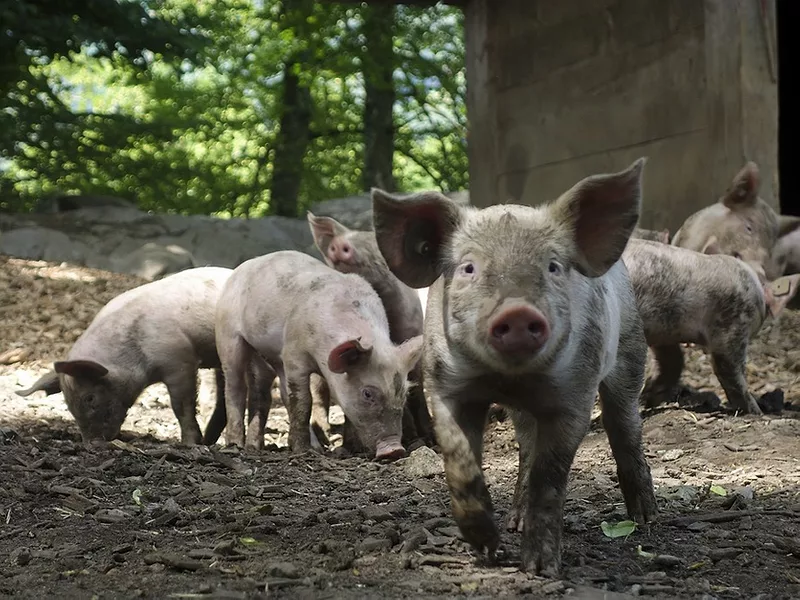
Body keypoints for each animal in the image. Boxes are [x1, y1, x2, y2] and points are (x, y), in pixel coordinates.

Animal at [15, 267, 233, 444]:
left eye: (89, 398)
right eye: (67, 403)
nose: (90, 443)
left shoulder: (180, 360)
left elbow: (181, 405)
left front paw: (189, 444)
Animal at [213, 250, 423, 460]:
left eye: (404, 392)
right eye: (368, 393)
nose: (395, 449)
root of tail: (245, 265)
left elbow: (344, 411)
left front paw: (349, 450)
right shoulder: (293, 353)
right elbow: (304, 401)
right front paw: (302, 451)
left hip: (268, 356)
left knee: (274, 393)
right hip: (228, 334)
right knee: (235, 387)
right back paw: (236, 445)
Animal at [307, 213, 434, 448]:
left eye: (375, 243)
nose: (339, 243)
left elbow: (416, 391)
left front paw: (427, 439)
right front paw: (350, 448)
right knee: (319, 394)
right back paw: (323, 437)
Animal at [370, 158, 658, 576]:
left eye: (553, 266)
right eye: (469, 268)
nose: (518, 311)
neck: (509, 380)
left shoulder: (575, 392)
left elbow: (549, 476)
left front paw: (540, 569)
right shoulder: (444, 384)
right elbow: (459, 461)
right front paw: (487, 549)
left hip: (630, 350)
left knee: (624, 426)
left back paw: (646, 518)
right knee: (526, 448)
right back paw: (513, 522)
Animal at [622, 239, 800, 415]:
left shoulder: (665, 332)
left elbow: (673, 361)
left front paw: (648, 400)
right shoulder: (733, 324)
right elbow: (729, 369)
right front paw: (756, 412)